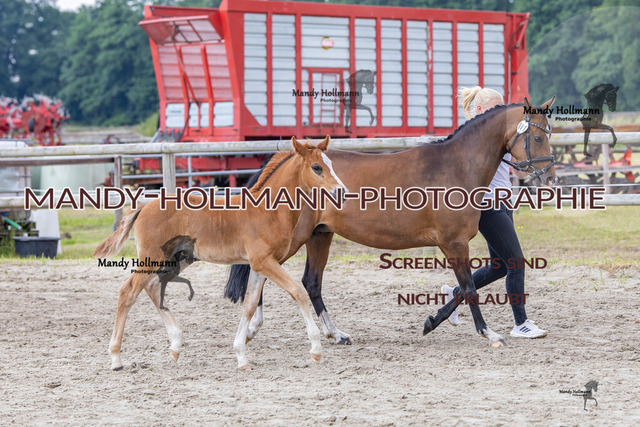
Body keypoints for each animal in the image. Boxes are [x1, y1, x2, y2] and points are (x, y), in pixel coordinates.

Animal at [94, 136, 348, 371]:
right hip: (153, 258)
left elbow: (250, 304)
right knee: (128, 292)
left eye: (331, 164)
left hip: (179, 259)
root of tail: (144, 206)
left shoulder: (260, 265)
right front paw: (316, 349)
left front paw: (241, 356)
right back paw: (116, 358)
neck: (268, 210)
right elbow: (298, 292)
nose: (342, 192)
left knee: (153, 287)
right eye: (317, 167)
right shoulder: (264, 262)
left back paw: (175, 346)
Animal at [225, 97, 557, 348]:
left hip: (320, 235)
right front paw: (489, 334)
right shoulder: (453, 243)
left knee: (311, 283)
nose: (550, 177)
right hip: (295, 238)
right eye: (538, 137)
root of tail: (284, 159)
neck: (456, 166)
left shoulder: (453, 244)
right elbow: (469, 288)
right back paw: (253, 327)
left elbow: (464, 288)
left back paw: (336, 334)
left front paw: (431, 322)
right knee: (263, 270)